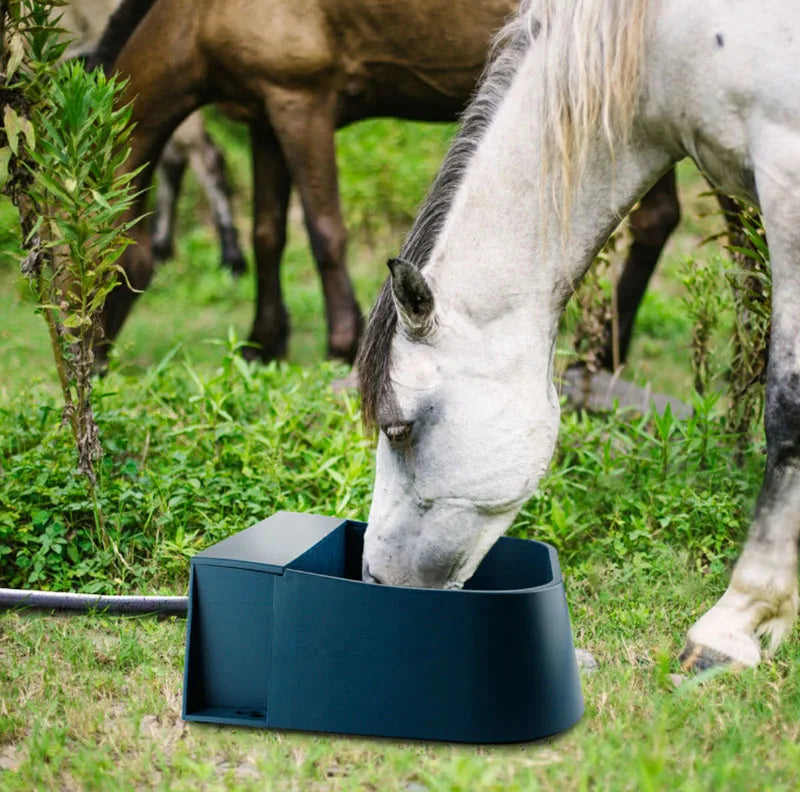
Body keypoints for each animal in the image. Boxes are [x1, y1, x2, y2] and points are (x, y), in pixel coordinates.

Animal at [90, 0, 728, 368]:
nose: (87, 360)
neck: (195, 15)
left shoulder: (301, 102)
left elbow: (324, 232)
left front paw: (339, 346)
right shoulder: (266, 115)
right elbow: (268, 234)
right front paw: (262, 344)